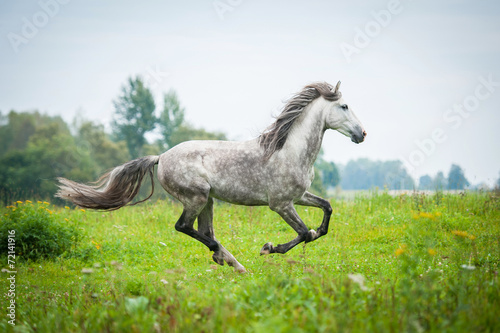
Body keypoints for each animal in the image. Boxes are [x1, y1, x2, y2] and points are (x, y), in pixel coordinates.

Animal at [56, 81, 366, 272]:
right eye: (344, 106)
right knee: (185, 227)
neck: (288, 150)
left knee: (204, 231)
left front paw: (279, 244)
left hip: (207, 201)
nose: (362, 134)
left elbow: (325, 212)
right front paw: (267, 248)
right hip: (196, 197)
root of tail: (161, 157)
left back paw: (233, 263)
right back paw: (224, 256)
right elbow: (304, 232)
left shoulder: (299, 196)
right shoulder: (280, 204)